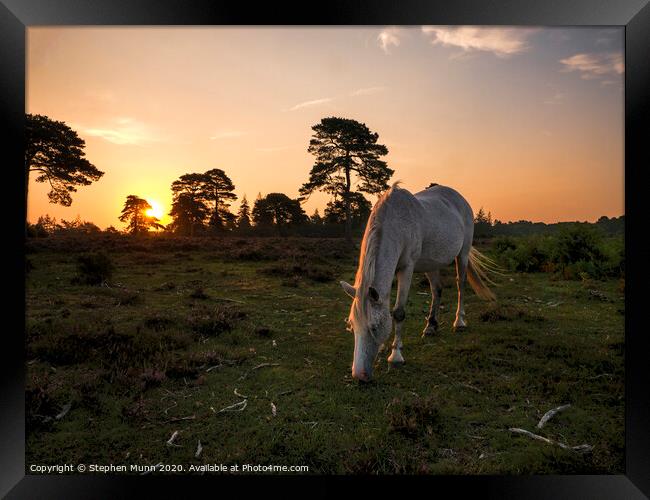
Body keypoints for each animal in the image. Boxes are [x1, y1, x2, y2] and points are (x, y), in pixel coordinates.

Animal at [342, 182, 494, 380]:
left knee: (460, 285)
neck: (396, 223)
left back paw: (459, 322)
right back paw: (431, 326)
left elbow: (398, 312)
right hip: (431, 263)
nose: (359, 375)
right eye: (352, 326)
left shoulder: (407, 268)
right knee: (437, 290)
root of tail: (461, 199)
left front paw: (396, 356)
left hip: (463, 254)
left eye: (374, 328)